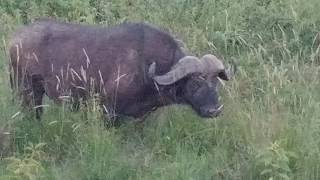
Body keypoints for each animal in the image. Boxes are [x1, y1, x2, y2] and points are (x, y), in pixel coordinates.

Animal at [8, 19, 231, 121]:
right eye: (195, 83)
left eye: (215, 83)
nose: (215, 110)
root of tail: (14, 39)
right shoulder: (108, 110)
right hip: (26, 90)